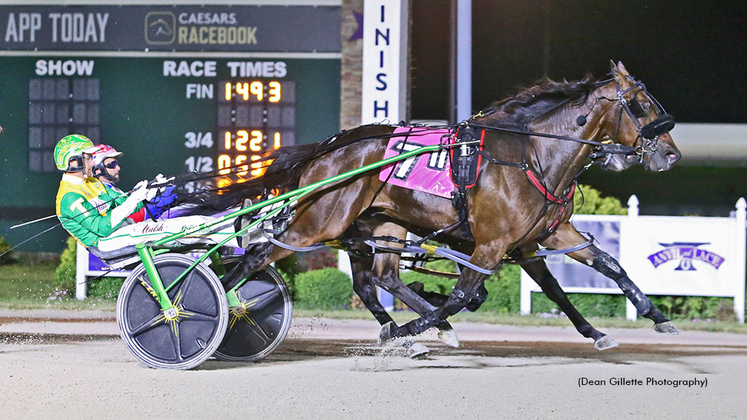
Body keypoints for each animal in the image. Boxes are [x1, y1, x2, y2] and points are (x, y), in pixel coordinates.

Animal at [218, 61, 684, 348]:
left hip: (382, 224)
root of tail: (327, 147)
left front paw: (649, 316)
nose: (671, 155)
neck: (534, 155)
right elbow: (463, 295)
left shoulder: (542, 237)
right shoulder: (491, 245)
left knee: (381, 280)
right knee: (257, 257)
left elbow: (602, 267)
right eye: (641, 105)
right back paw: (216, 304)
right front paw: (411, 331)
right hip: (320, 222)